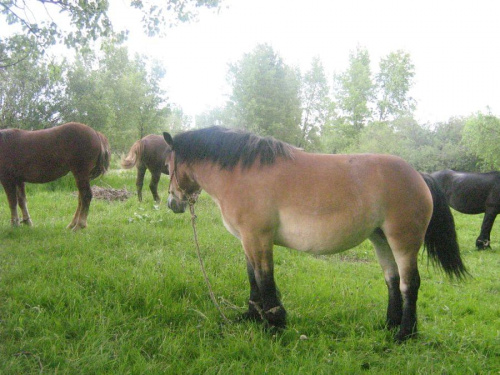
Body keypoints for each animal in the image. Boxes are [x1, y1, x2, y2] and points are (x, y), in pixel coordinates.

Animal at [162, 127, 466, 344]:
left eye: (167, 165)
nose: (172, 203)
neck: (241, 173)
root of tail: (418, 175)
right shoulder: (248, 240)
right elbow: (252, 278)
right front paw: (251, 316)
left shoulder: (258, 238)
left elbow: (264, 278)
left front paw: (274, 324)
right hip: (381, 239)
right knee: (392, 281)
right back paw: (388, 325)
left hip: (403, 241)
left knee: (409, 284)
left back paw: (405, 334)